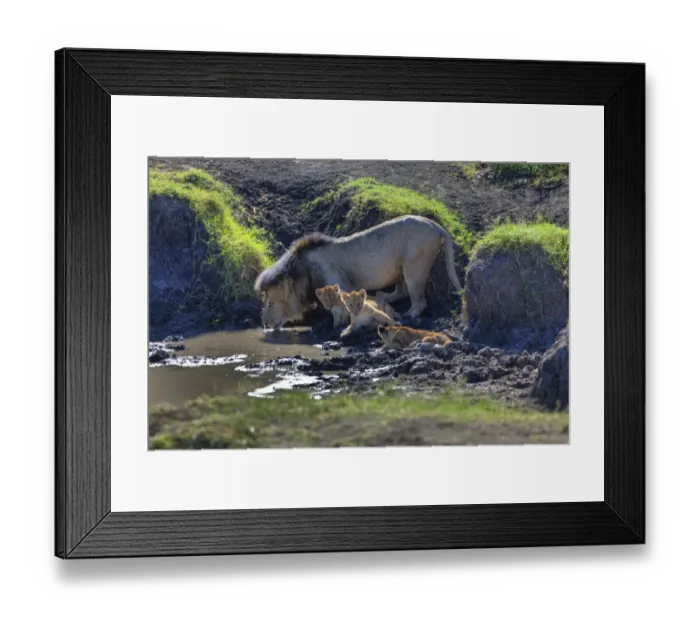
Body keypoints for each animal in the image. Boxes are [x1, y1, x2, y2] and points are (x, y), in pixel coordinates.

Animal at [254, 215, 463, 330]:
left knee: (419, 301)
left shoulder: (338, 280)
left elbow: (342, 305)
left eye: (271, 303)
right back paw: (382, 296)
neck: (303, 271)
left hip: (414, 266)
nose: (265, 324)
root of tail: (436, 226)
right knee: (401, 291)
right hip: (400, 269)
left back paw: (407, 314)